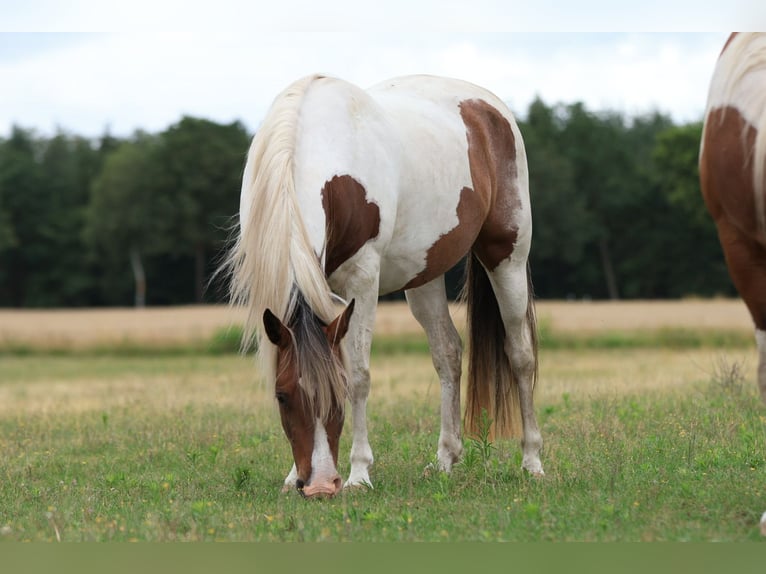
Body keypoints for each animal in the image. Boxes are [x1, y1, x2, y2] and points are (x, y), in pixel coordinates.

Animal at [225, 74, 542, 498]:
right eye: (282, 396)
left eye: (338, 393)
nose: (320, 485)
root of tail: (491, 106)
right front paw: (292, 475)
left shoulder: (362, 279)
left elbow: (359, 375)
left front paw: (359, 473)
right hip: (424, 276)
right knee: (448, 353)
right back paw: (445, 459)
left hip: (506, 256)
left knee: (520, 354)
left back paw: (532, 460)